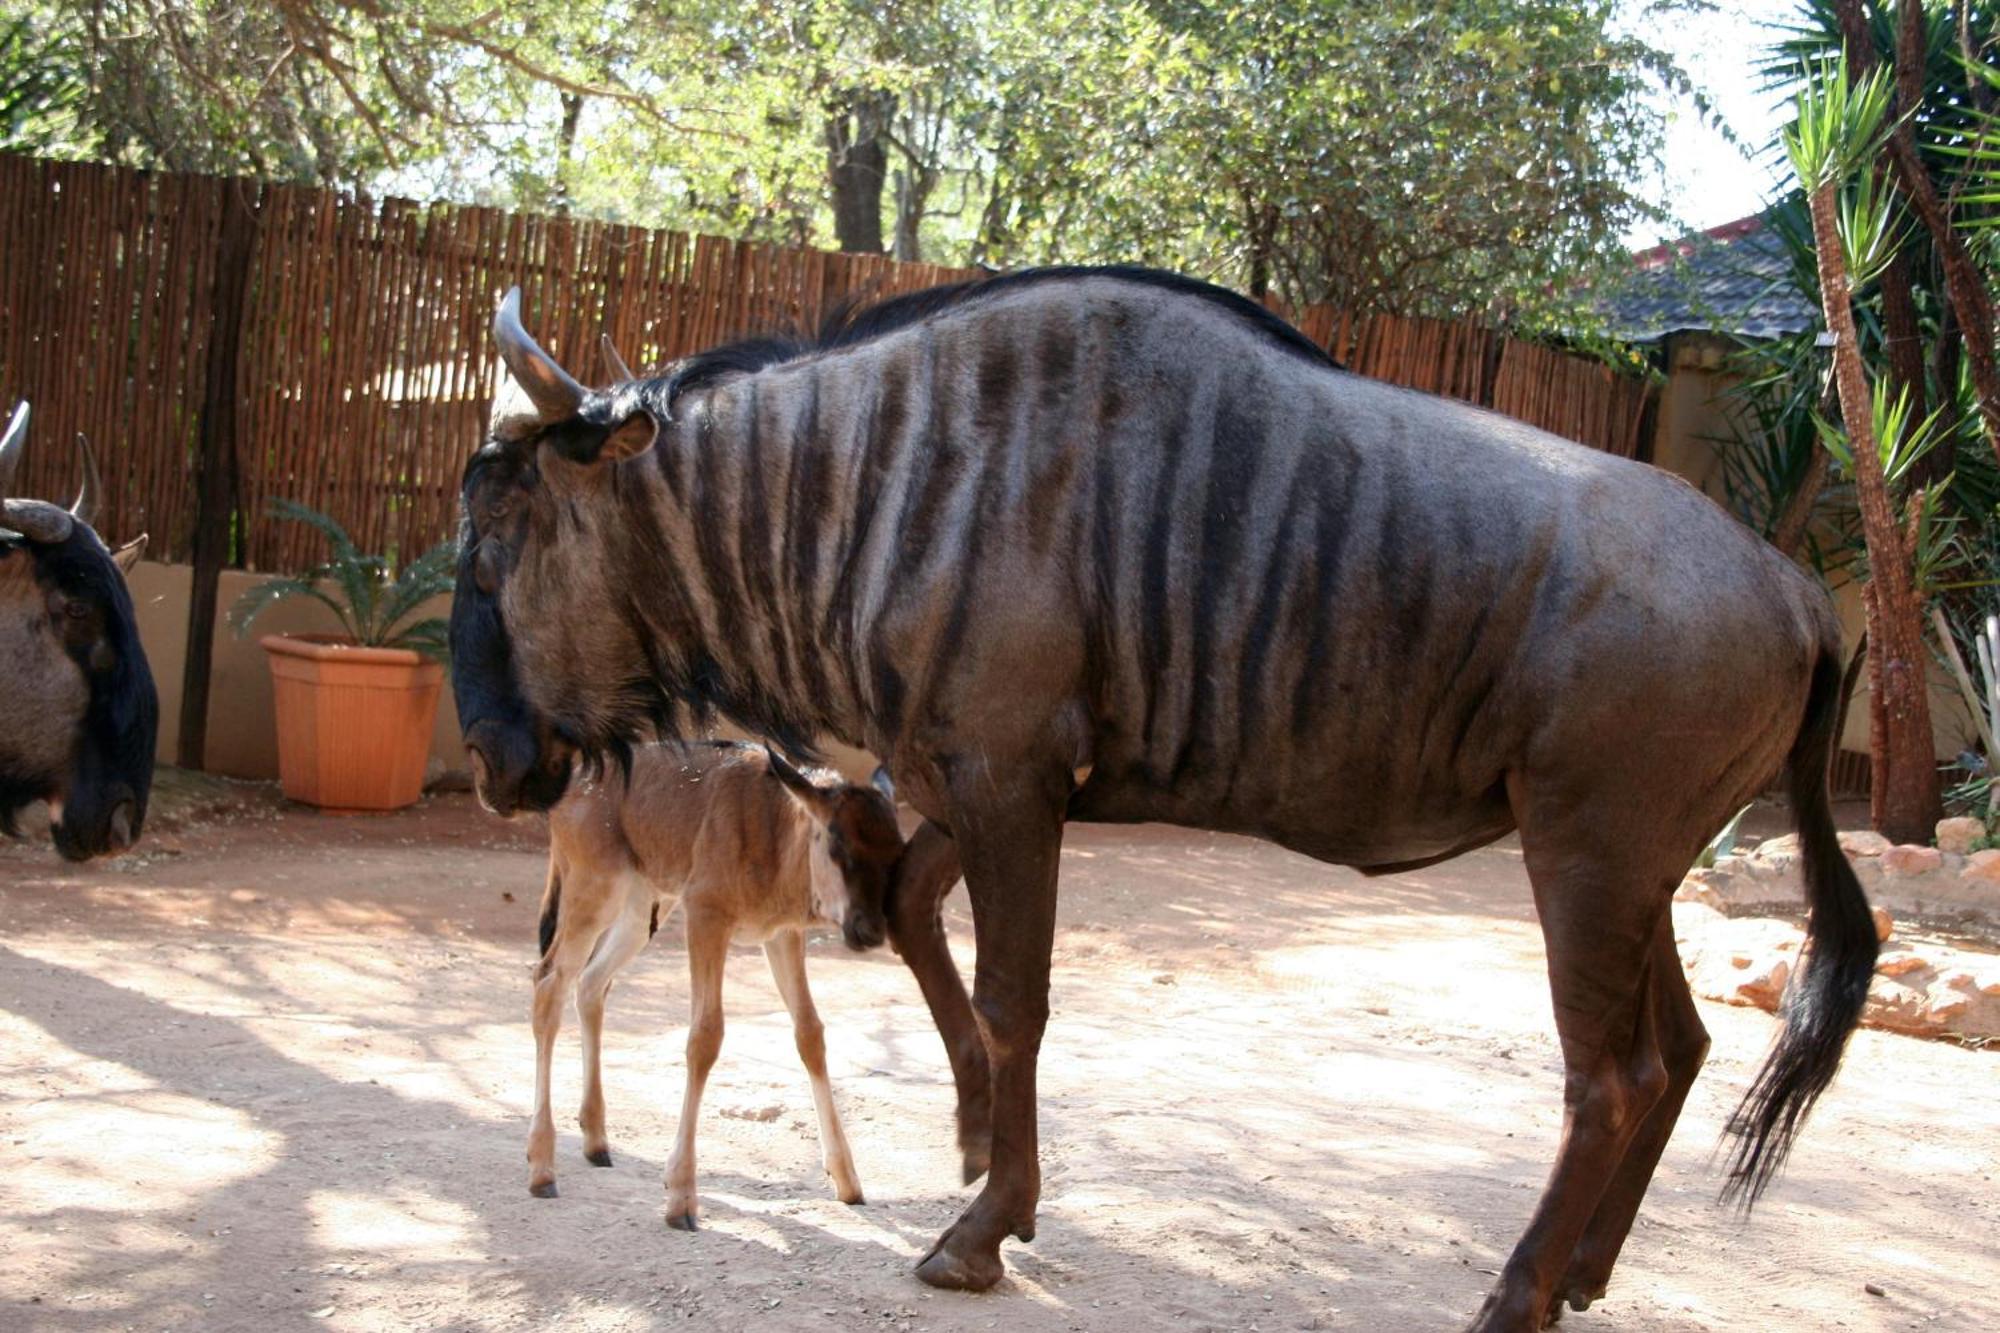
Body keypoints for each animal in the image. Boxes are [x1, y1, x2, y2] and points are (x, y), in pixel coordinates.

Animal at [532, 732, 908, 1216]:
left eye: (896, 854)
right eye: (836, 845)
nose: (870, 930)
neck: (776, 830)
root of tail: (576, 781)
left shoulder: (781, 934)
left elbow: (810, 1033)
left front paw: (847, 1179)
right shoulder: (706, 914)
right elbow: (704, 1036)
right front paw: (681, 1197)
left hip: (643, 904)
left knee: (591, 983)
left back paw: (596, 1142)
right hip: (592, 890)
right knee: (549, 983)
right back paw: (542, 1168)